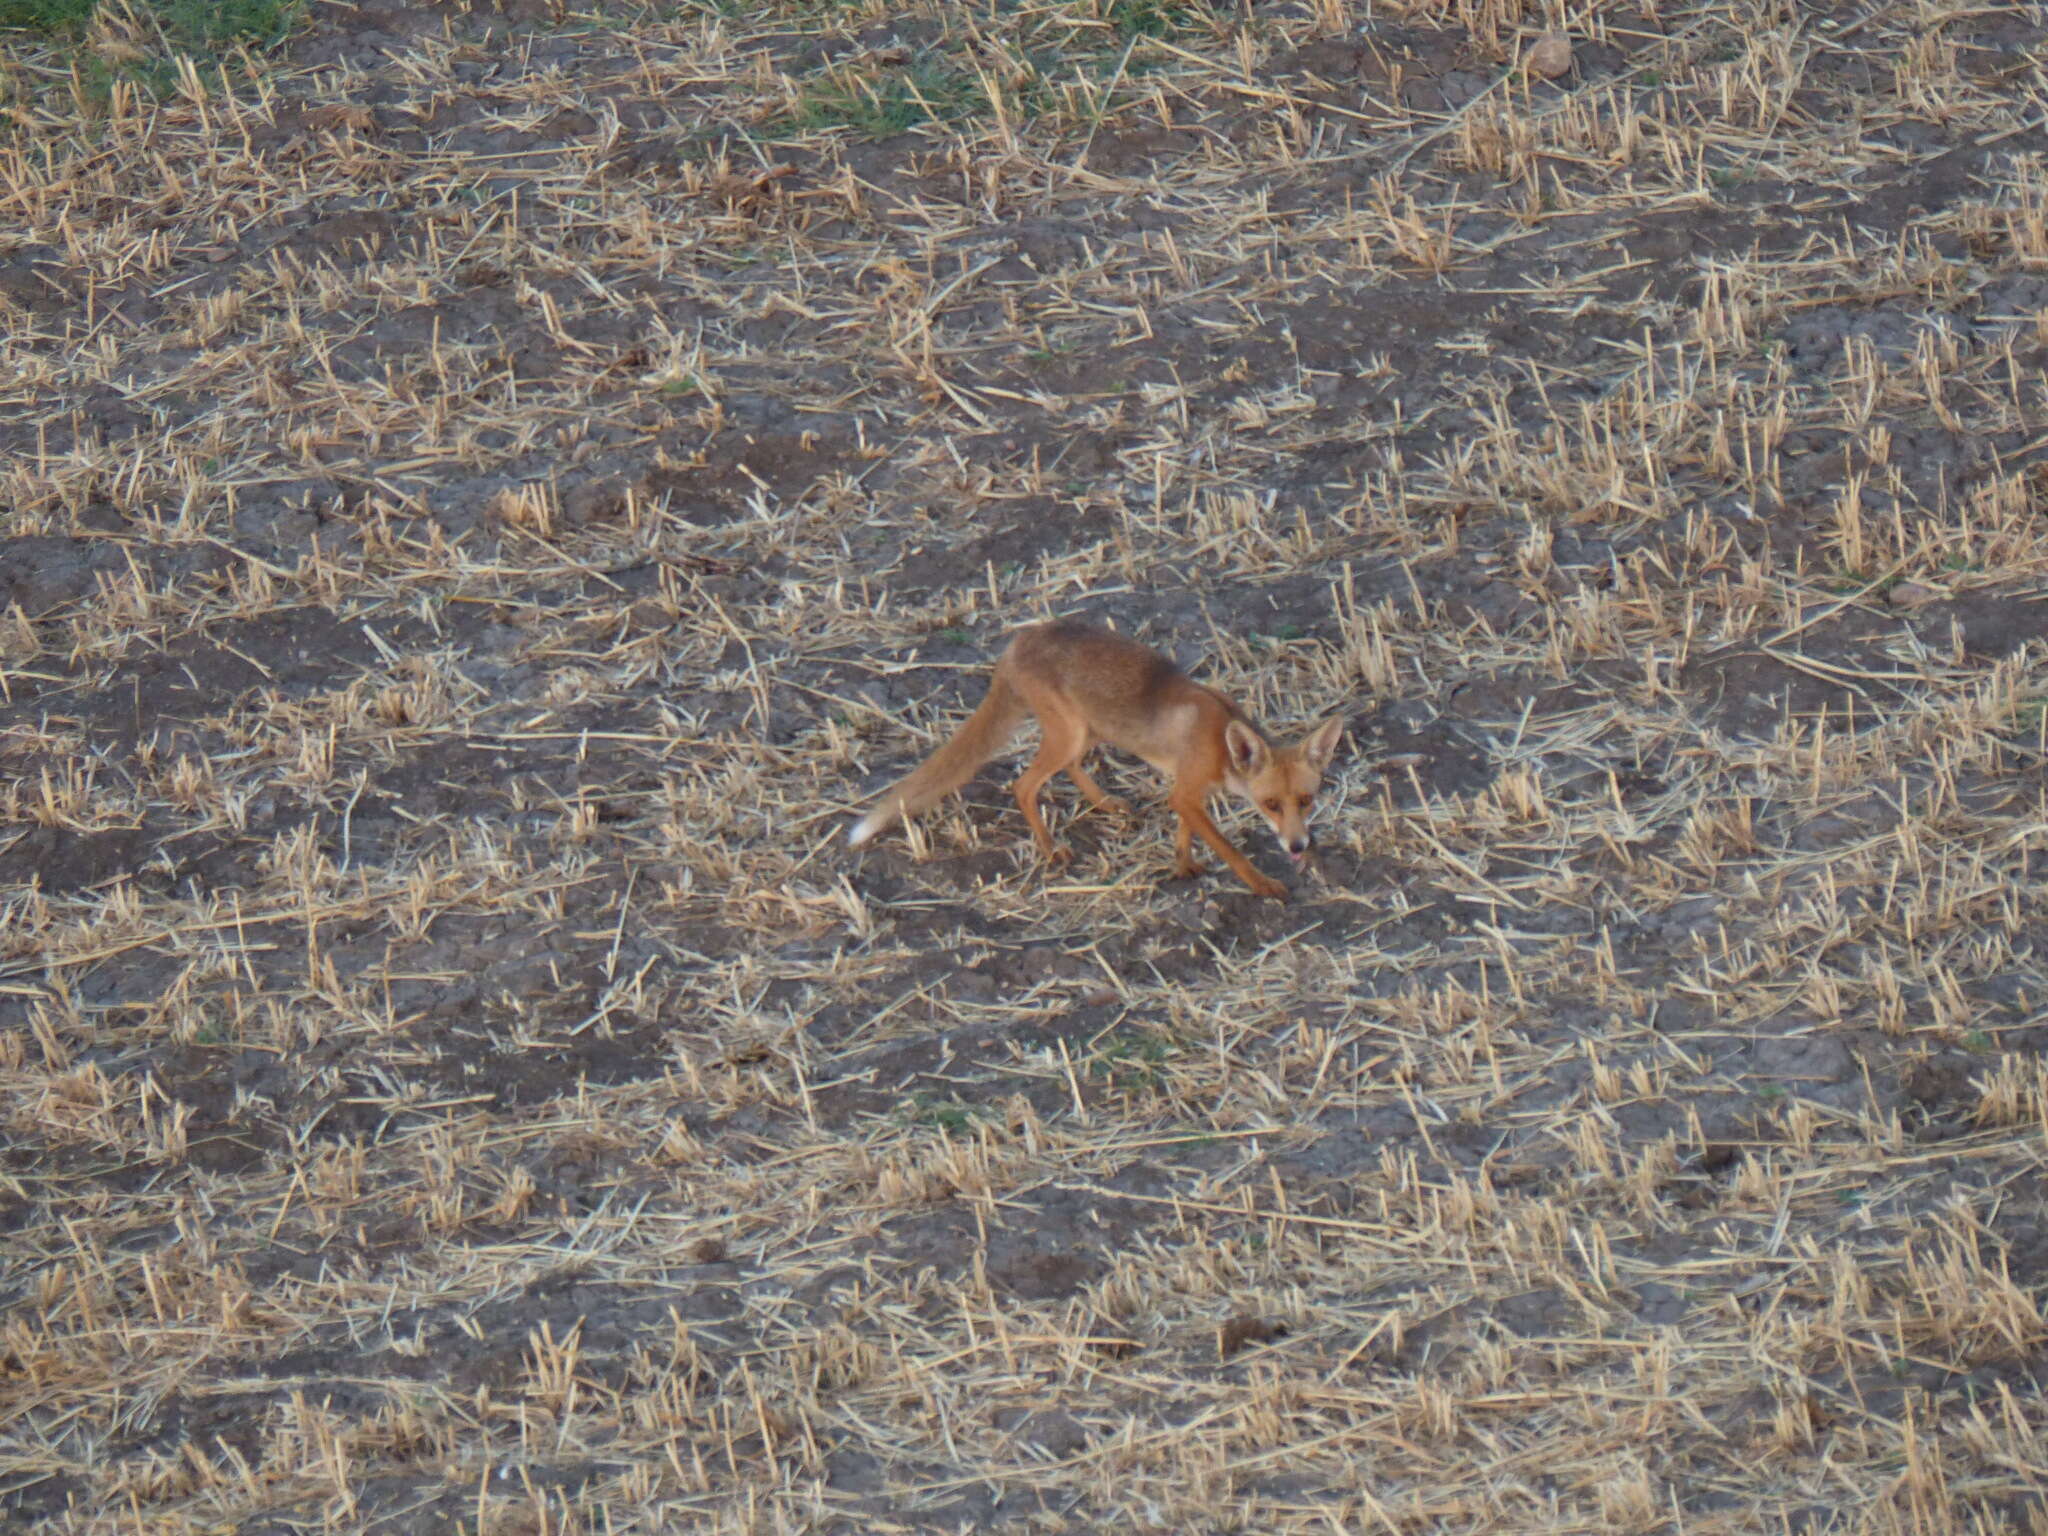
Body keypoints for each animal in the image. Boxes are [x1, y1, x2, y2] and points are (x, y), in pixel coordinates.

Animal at [847, 618, 1343, 897]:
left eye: (1307, 801)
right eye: (1270, 805)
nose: (1299, 847)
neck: (1220, 741)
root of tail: (1016, 644)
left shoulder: (1187, 791)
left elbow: (1185, 833)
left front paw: (1183, 866)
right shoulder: (1187, 791)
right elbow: (1230, 849)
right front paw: (1263, 886)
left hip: (1085, 732)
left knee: (1065, 769)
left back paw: (1106, 803)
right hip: (1069, 735)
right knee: (1023, 786)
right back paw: (1051, 849)